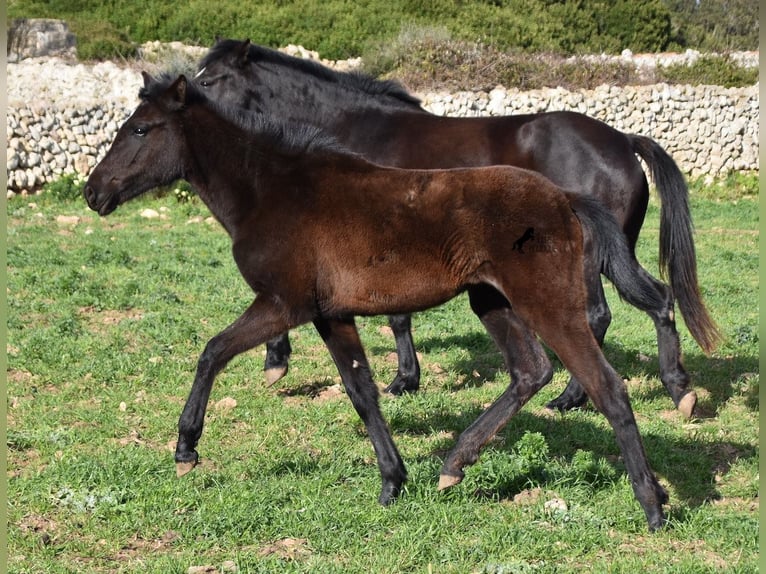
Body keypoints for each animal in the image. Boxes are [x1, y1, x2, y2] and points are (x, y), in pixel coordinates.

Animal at [85, 74, 672, 532]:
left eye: (140, 129)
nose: (94, 192)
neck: (273, 189)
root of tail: (565, 199)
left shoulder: (283, 303)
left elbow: (212, 351)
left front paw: (186, 449)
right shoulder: (330, 314)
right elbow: (361, 390)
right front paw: (393, 481)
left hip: (547, 303)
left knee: (606, 385)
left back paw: (653, 506)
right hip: (491, 300)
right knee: (530, 372)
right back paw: (454, 464)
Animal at [192, 40, 720, 418]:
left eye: (211, 78)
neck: (354, 130)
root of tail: (622, 140)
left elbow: (394, 316)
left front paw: (396, 378)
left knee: (600, 316)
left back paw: (588, 397)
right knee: (648, 301)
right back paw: (668, 391)